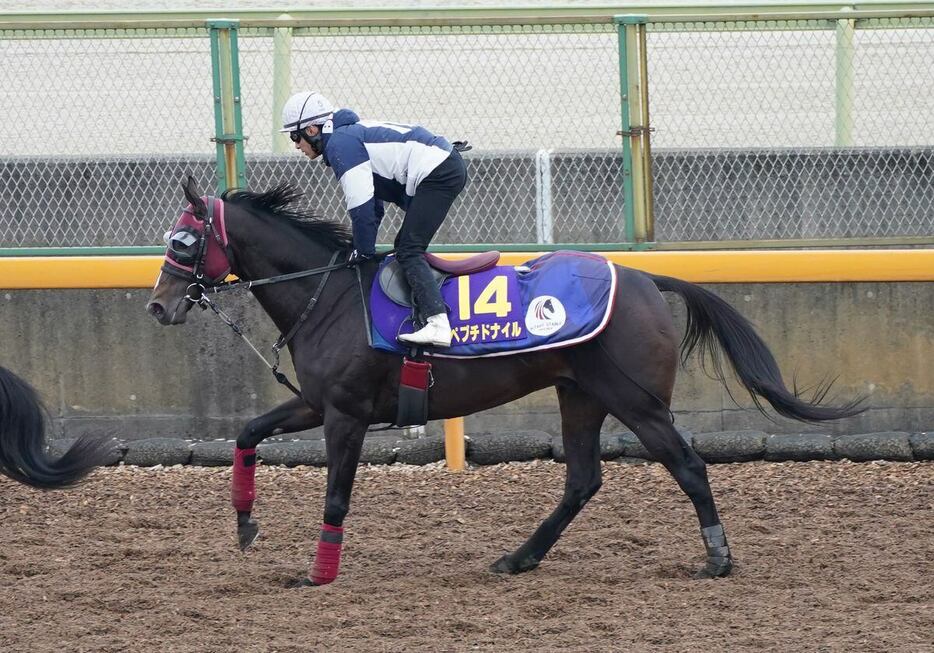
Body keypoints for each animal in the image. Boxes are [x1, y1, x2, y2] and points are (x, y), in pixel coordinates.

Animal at [146, 177, 872, 584]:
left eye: (183, 241)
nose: (157, 306)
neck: (331, 295)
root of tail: (644, 276)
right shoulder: (320, 404)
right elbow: (248, 431)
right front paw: (245, 524)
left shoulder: (347, 413)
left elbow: (335, 498)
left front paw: (317, 575)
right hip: (581, 394)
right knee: (582, 479)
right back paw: (519, 557)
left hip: (637, 401)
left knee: (689, 466)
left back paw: (717, 559)